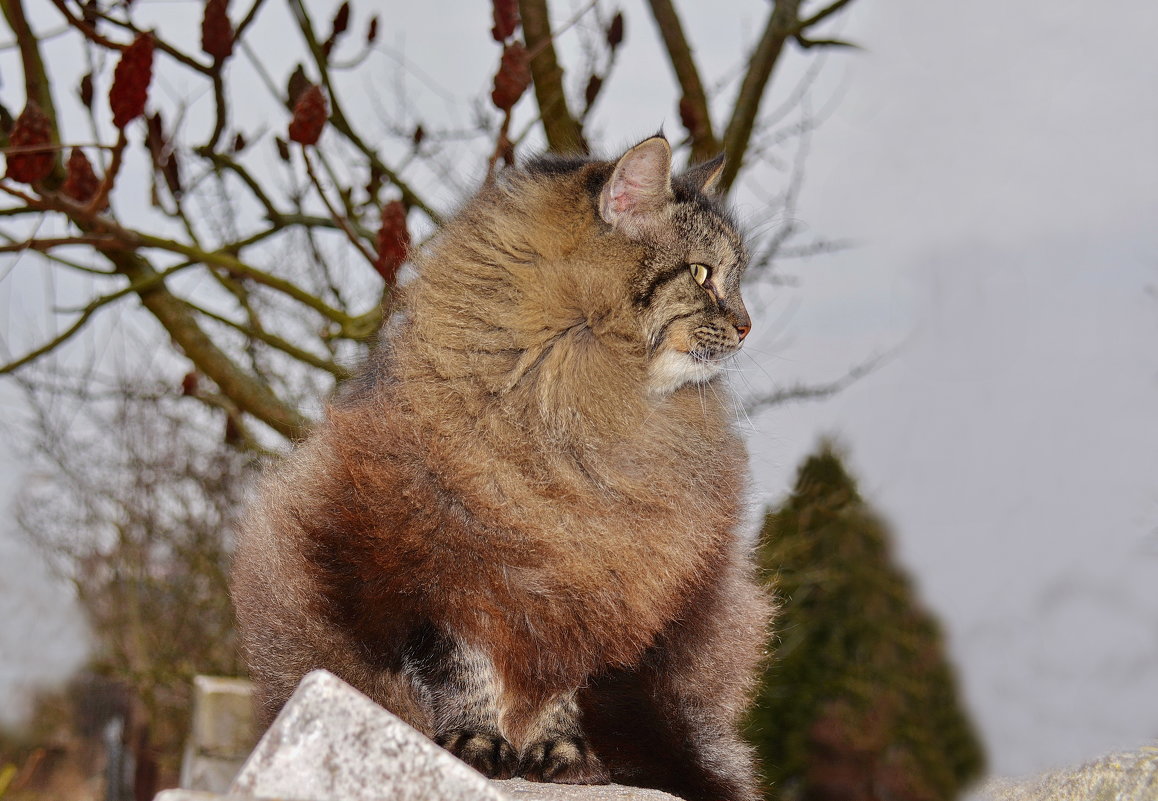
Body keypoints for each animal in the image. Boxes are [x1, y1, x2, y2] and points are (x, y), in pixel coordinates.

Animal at [230, 136, 773, 801]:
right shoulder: (444, 572)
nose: (747, 327)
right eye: (702, 274)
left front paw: (557, 754)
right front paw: (475, 745)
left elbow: (563, 688)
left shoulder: (595, 591)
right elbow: (464, 670)